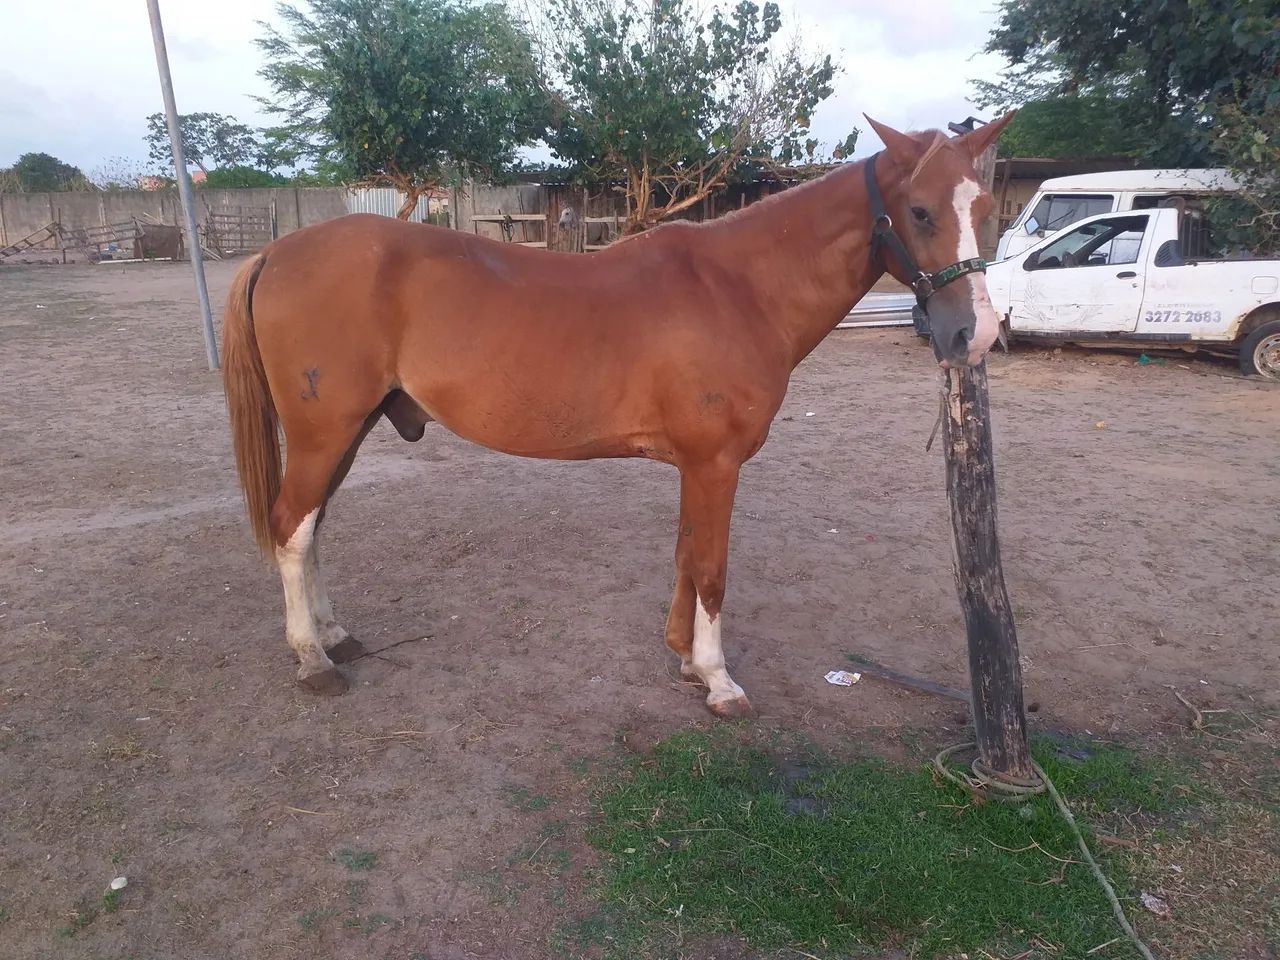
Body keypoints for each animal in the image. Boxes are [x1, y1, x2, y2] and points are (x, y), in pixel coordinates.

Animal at [220, 114, 1015, 715]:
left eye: (985, 211)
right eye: (920, 211)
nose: (972, 335)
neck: (738, 287)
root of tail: (276, 252)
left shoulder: (697, 466)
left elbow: (687, 556)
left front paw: (686, 660)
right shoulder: (716, 464)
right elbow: (712, 568)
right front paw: (719, 681)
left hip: (345, 433)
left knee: (312, 530)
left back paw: (334, 636)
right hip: (323, 433)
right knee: (292, 530)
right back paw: (313, 660)